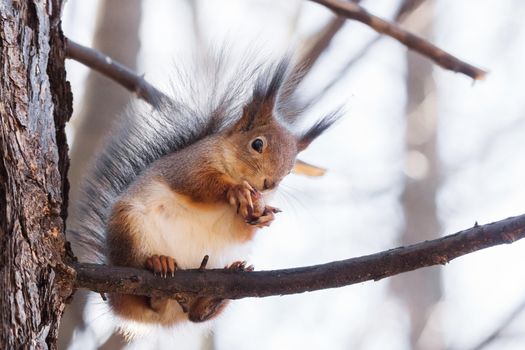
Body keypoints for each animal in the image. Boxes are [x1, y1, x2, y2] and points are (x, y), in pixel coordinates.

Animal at [67, 56, 338, 334]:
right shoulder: (189, 166)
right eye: (257, 143)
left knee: (194, 316)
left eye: (291, 168)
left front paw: (265, 216)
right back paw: (158, 263)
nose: (268, 184)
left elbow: (241, 233)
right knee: (140, 281)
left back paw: (211, 298)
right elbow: (198, 184)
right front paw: (235, 190)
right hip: (129, 227)